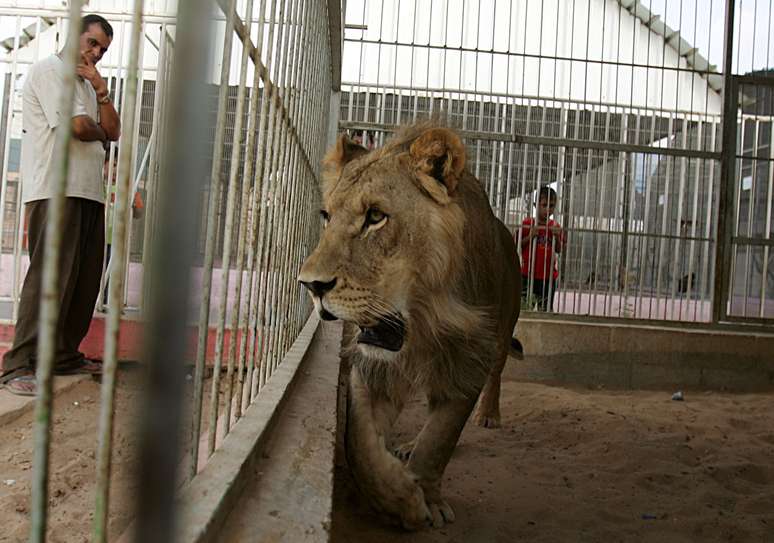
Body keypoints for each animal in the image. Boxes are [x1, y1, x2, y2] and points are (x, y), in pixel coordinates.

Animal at [300, 124, 524, 532]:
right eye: (326, 216)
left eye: (375, 216)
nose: (311, 286)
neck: (423, 320)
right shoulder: (370, 365)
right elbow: (358, 440)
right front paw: (397, 495)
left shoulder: (469, 358)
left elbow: (440, 438)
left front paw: (423, 499)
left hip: (503, 332)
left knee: (497, 374)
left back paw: (487, 415)